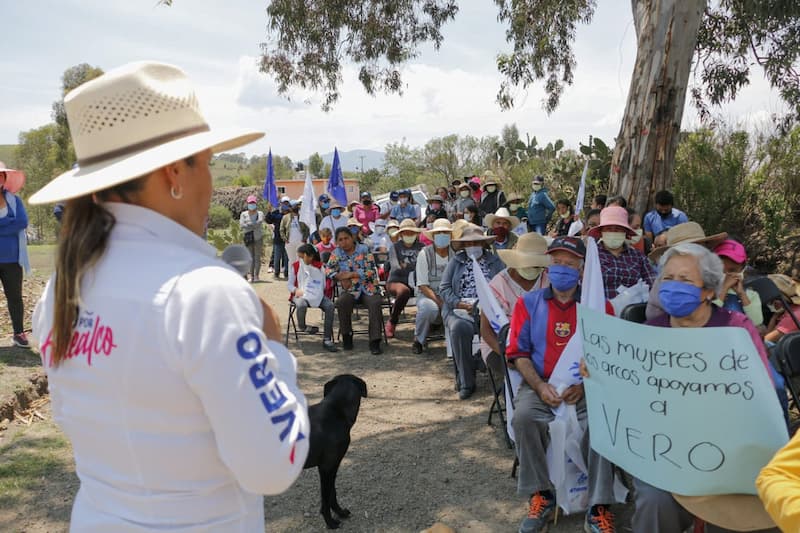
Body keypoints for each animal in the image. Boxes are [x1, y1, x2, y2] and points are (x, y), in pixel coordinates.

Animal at [304, 374, 368, 528]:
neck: (335, 409)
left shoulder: (333, 465)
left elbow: (332, 493)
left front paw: (340, 512)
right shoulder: (326, 467)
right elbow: (326, 498)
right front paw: (330, 522)